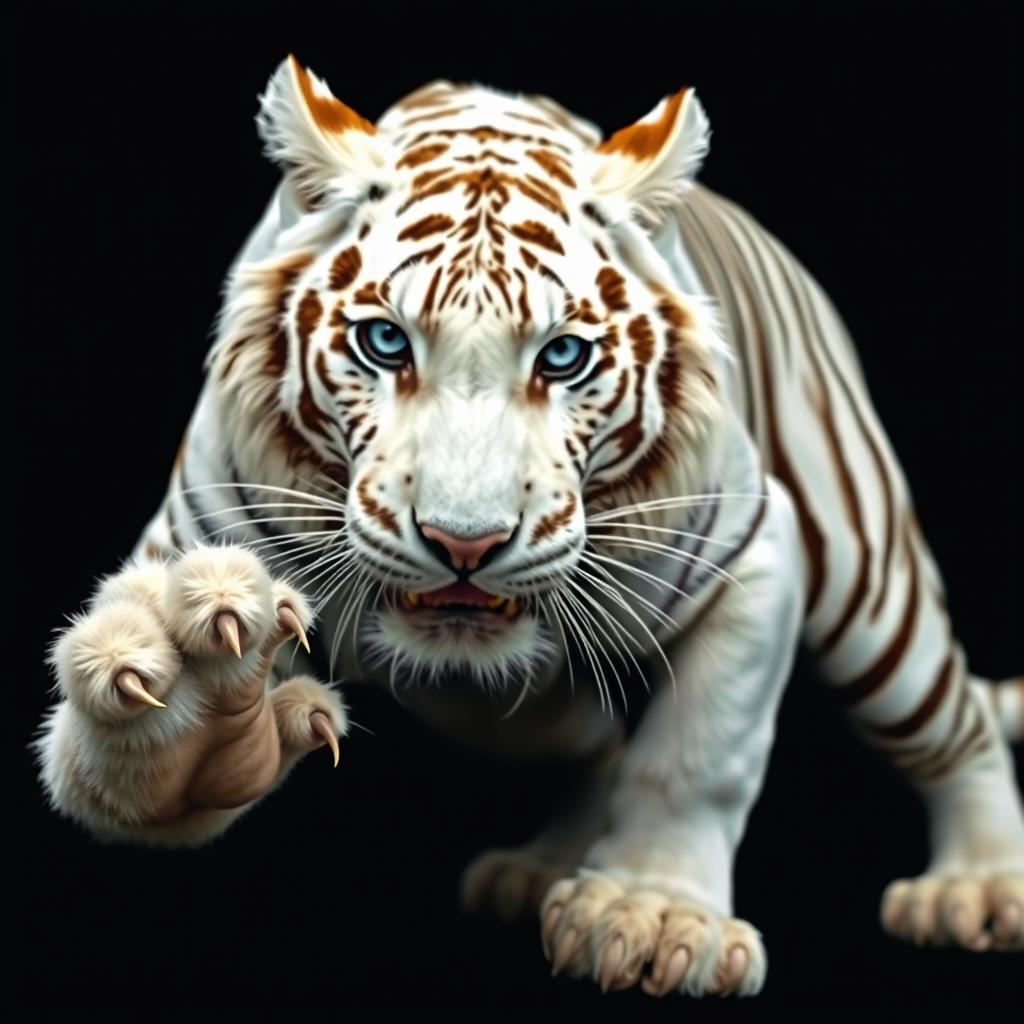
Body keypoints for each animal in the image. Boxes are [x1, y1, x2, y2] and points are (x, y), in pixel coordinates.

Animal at [34, 54, 1024, 991]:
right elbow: (123, 770)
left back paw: (977, 888)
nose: (463, 543)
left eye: (563, 356)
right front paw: (210, 696)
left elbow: (699, 754)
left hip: (871, 593)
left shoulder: (755, 553)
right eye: (384, 342)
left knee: (957, 725)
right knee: (582, 735)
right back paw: (542, 864)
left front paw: (657, 915)